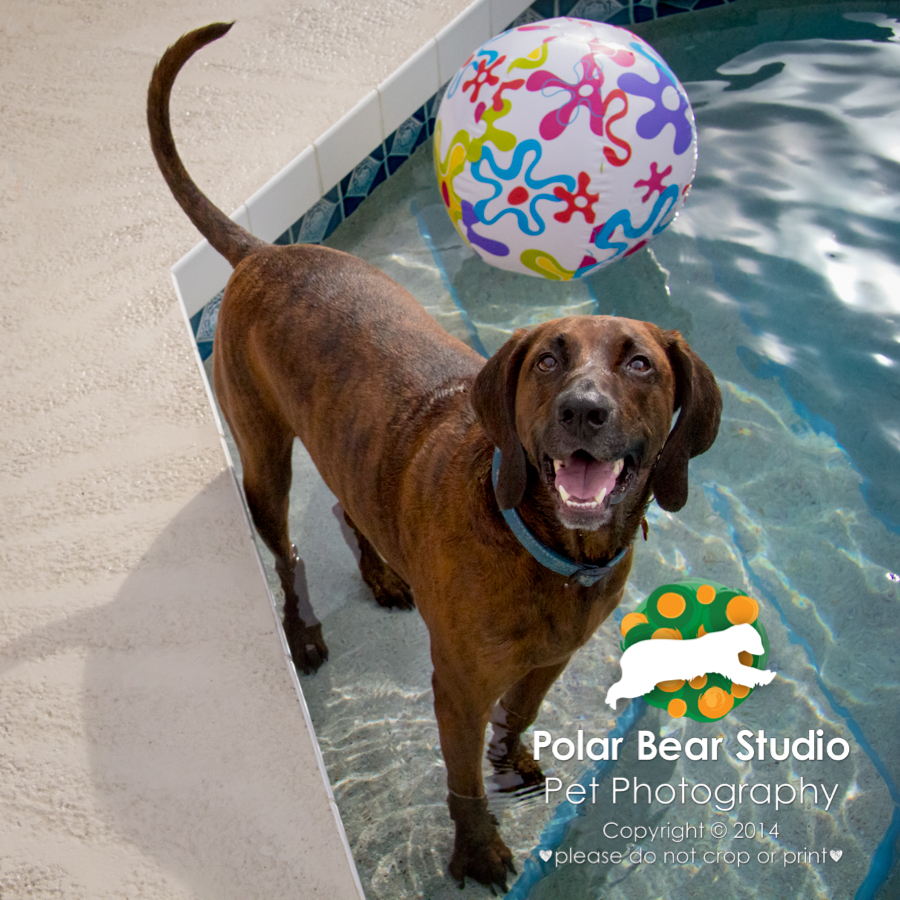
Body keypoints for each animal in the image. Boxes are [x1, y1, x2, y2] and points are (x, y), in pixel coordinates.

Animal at [149, 22, 724, 892]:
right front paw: (476, 849)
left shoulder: (549, 661)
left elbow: (522, 714)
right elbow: (460, 782)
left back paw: (384, 572)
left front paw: (514, 760)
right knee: (286, 550)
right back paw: (304, 631)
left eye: (639, 364)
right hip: (263, 459)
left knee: (350, 502)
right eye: (548, 359)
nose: (582, 411)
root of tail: (261, 254)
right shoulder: (455, 687)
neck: (547, 548)